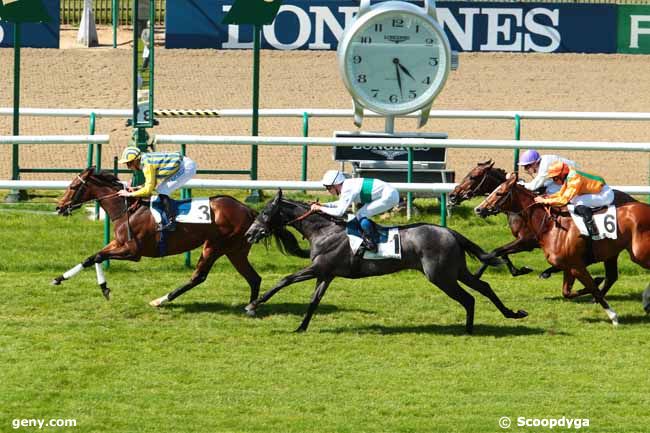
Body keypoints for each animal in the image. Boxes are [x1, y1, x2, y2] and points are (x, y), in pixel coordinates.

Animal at [53, 166, 264, 308]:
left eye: (73, 187)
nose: (59, 207)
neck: (127, 209)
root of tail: (248, 210)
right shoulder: (117, 243)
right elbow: (91, 257)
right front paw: (59, 278)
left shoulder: (133, 252)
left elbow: (98, 256)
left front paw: (104, 288)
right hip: (235, 251)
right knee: (254, 278)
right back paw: (251, 307)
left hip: (215, 245)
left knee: (198, 277)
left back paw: (160, 300)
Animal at [243, 187, 528, 332]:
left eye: (266, 212)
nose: (249, 233)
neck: (324, 230)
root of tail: (450, 232)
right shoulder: (326, 273)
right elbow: (314, 302)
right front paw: (301, 327)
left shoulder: (318, 267)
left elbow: (284, 280)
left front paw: (253, 305)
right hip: (456, 271)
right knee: (484, 288)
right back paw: (511, 314)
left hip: (441, 276)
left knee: (469, 298)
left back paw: (469, 329)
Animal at [470, 172, 648, 324]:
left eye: (499, 193)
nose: (478, 209)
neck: (549, 225)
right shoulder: (568, 265)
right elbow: (568, 292)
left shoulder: (564, 259)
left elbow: (591, 287)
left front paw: (612, 315)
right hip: (612, 253)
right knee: (611, 276)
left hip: (637, 254)